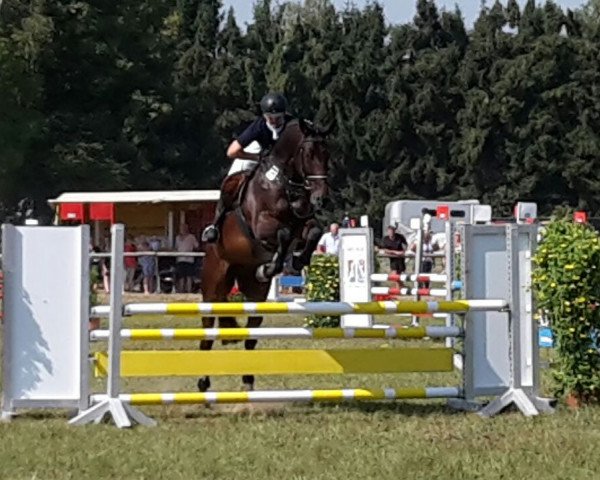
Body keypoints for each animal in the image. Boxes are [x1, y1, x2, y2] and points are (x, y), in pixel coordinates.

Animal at [199, 119, 332, 394]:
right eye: (308, 154)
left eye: (328, 155)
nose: (321, 198)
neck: (285, 183)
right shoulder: (262, 226)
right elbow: (282, 233)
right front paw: (273, 266)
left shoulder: (303, 224)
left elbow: (314, 230)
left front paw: (296, 261)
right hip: (212, 288)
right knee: (207, 334)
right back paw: (203, 382)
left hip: (254, 292)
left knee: (251, 335)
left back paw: (248, 381)